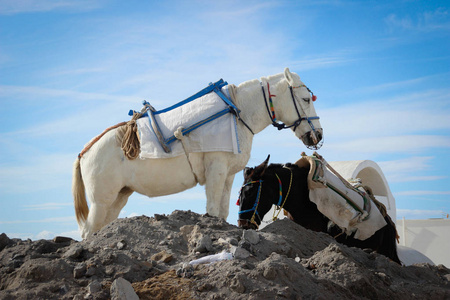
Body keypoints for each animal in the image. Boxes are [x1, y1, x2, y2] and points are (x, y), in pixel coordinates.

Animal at [73, 67, 320, 238]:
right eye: (306, 99)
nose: (317, 135)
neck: (236, 113)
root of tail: (85, 152)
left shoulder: (228, 175)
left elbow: (222, 211)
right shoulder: (215, 171)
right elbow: (212, 209)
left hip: (119, 197)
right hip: (100, 202)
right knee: (89, 231)